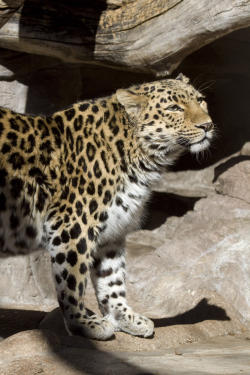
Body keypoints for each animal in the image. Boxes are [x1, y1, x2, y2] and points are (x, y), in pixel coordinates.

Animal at [0, 72, 215, 340]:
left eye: (201, 100)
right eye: (174, 108)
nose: (207, 125)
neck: (138, 155)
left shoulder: (111, 232)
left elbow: (112, 280)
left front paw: (125, 317)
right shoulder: (73, 226)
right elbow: (72, 278)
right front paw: (82, 322)